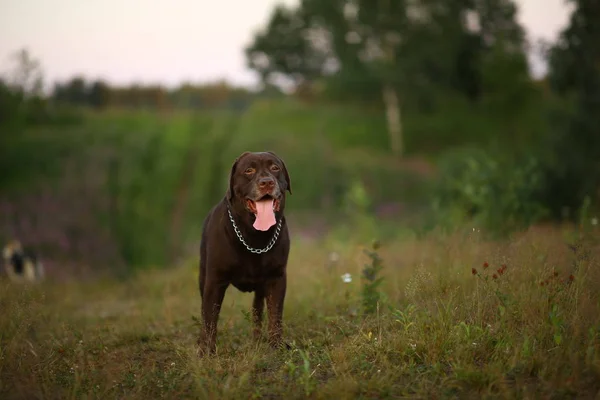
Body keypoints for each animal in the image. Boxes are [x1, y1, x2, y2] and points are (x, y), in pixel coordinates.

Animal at [199, 152, 292, 354]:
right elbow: (210, 319)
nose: (266, 182)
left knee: (257, 311)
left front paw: (276, 346)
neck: (255, 236)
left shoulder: (276, 278)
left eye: (275, 168)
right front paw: (207, 353)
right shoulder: (214, 281)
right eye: (249, 170)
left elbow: (275, 315)